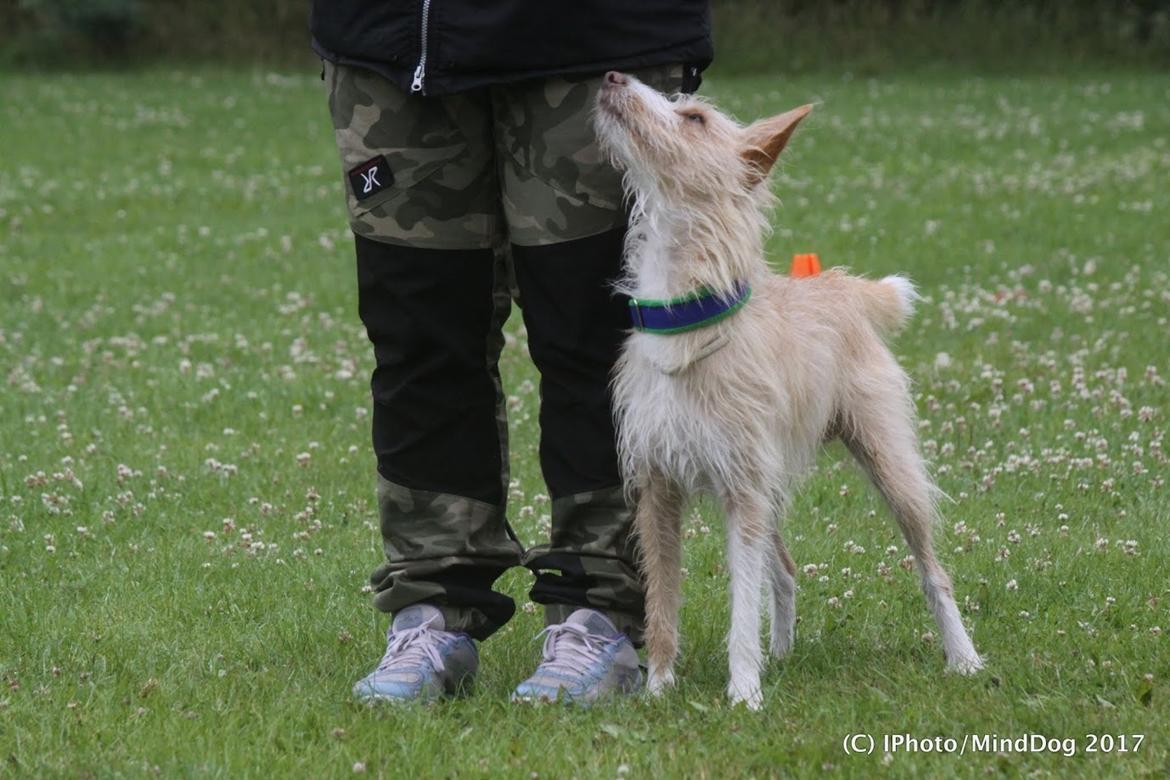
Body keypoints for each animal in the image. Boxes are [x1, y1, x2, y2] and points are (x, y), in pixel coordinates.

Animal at [594, 70, 987, 711]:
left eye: (695, 118)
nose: (612, 75)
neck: (687, 321)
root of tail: (840, 288)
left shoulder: (741, 495)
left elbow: (740, 607)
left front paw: (743, 695)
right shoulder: (658, 491)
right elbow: (663, 605)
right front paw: (658, 688)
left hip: (888, 467)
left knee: (932, 570)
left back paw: (964, 656)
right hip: (768, 477)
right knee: (783, 568)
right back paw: (780, 650)